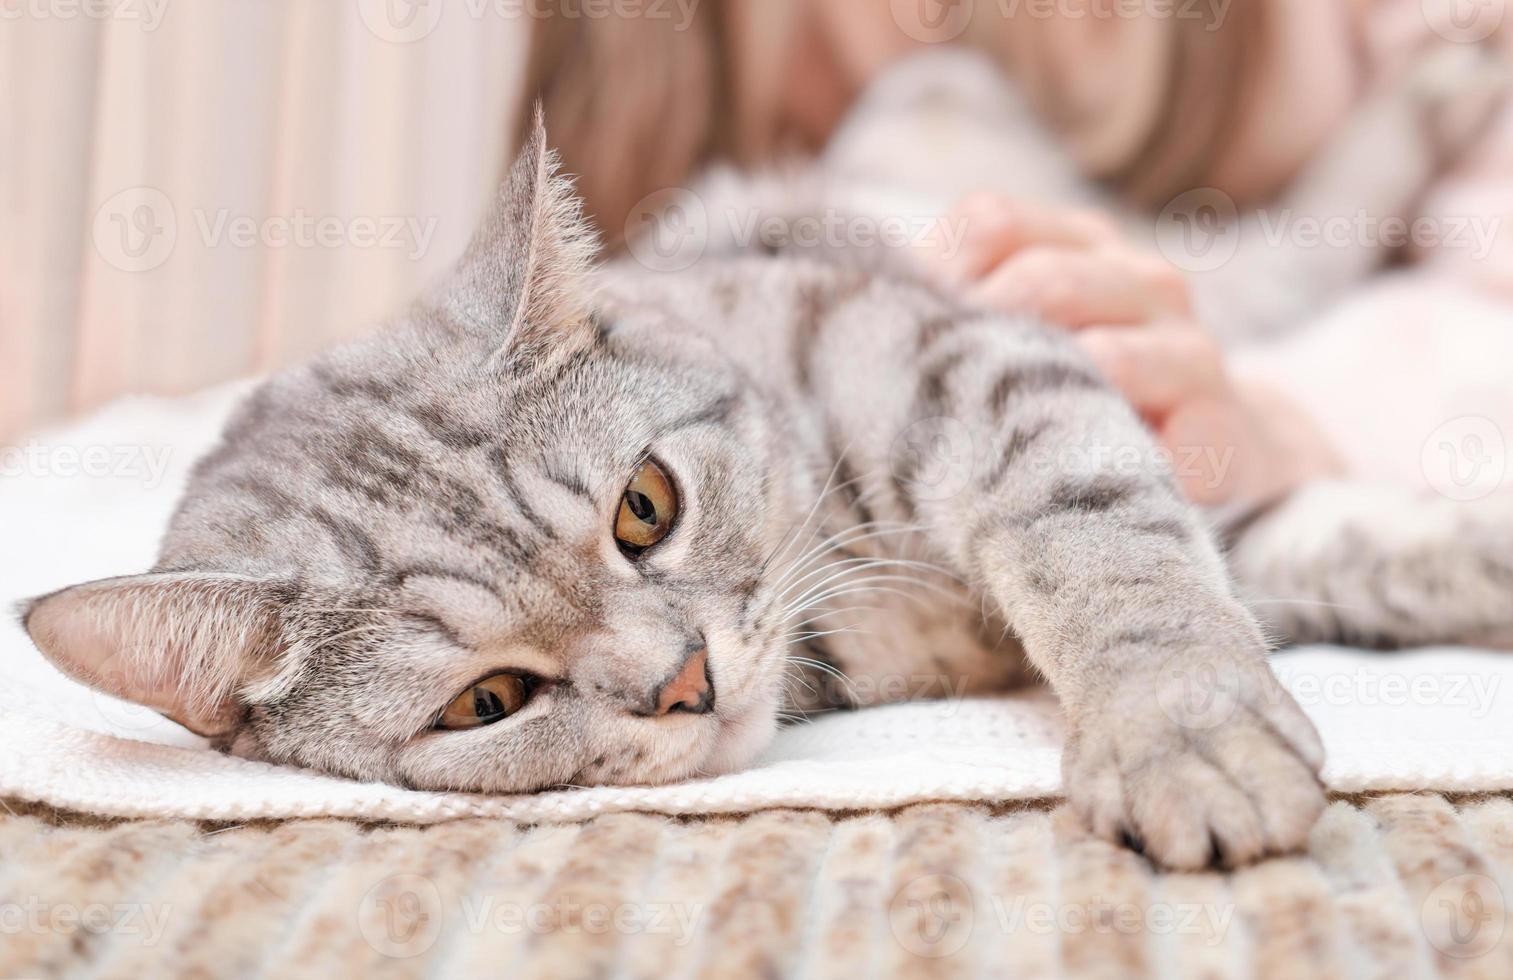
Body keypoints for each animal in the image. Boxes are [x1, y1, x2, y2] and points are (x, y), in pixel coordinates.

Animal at [20, 111, 1337, 871]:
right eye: (488, 700)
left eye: (642, 507)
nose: (684, 679)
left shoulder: (964, 362)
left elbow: (1102, 545)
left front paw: (1184, 731)